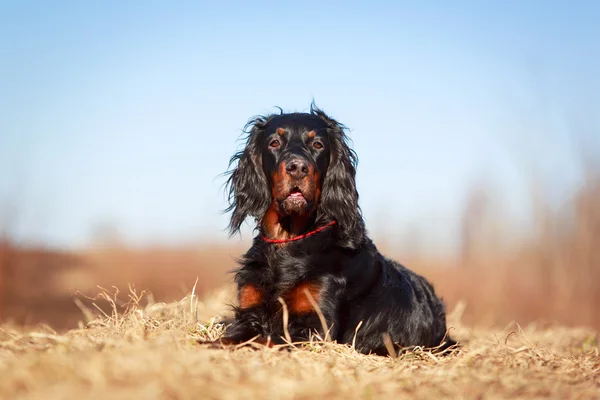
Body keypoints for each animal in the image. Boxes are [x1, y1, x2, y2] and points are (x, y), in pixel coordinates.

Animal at [211, 104, 454, 354]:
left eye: (318, 144)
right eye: (274, 143)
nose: (298, 167)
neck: (290, 240)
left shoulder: (316, 327)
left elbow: (264, 340)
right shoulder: (249, 313)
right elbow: (234, 336)